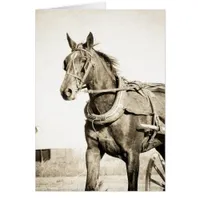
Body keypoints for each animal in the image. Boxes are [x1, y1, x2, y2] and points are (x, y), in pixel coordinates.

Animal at [60, 31, 165, 191]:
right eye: (65, 62)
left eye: (84, 60)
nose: (66, 91)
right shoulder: (92, 151)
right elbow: (90, 186)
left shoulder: (132, 154)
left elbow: (132, 187)